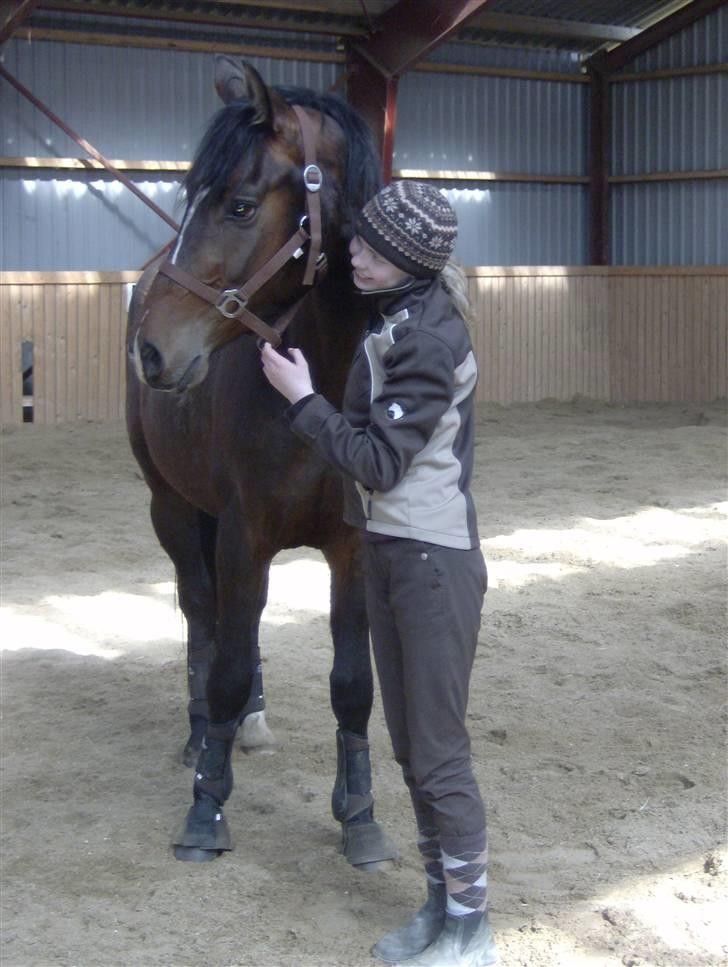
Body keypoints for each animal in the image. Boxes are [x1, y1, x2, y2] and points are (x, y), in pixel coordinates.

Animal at [126, 56, 398, 864]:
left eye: (241, 206)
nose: (152, 351)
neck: (320, 393)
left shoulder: (349, 548)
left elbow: (352, 682)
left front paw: (360, 813)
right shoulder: (243, 532)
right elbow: (224, 661)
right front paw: (206, 808)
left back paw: (252, 719)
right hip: (174, 508)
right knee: (203, 614)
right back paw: (202, 735)